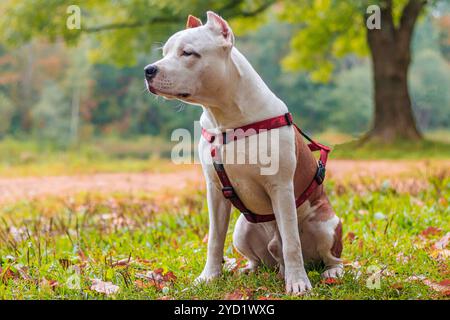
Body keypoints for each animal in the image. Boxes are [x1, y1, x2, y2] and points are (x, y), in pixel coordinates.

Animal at [146, 11, 342, 294]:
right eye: (165, 52)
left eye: (188, 53)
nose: (148, 70)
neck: (226, 118)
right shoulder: (215, 191)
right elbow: (215, 240)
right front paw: (208, 277)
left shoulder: (281, 187)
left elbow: (291, 241)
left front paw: (297, 282)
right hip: (242, 229)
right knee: (262, 257)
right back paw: (250, 269)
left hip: (326, 225)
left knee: (328, 256)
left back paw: (330, 271)